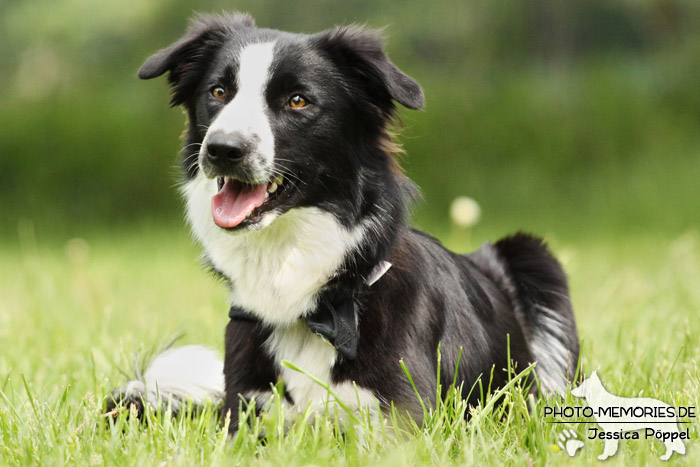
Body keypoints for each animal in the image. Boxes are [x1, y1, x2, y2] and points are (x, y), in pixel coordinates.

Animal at [110, 13, 580, 432]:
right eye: (219, 91)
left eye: (298, 100)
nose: (223, 149)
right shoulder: (244, 414)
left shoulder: (402, 419)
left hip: (533, 256)